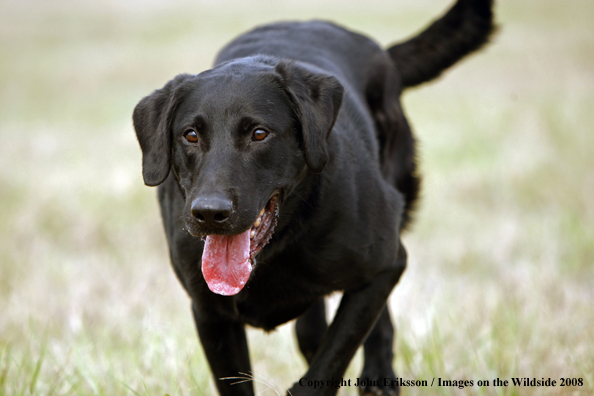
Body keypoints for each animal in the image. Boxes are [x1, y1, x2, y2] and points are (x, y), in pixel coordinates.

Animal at [132, 1, 492, 394]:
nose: (210, 213)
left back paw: (378, 377)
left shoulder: (386, 265)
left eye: (259, 133)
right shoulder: (209, 312)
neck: (277, 247)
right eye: (191, 135)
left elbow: (331, 359)